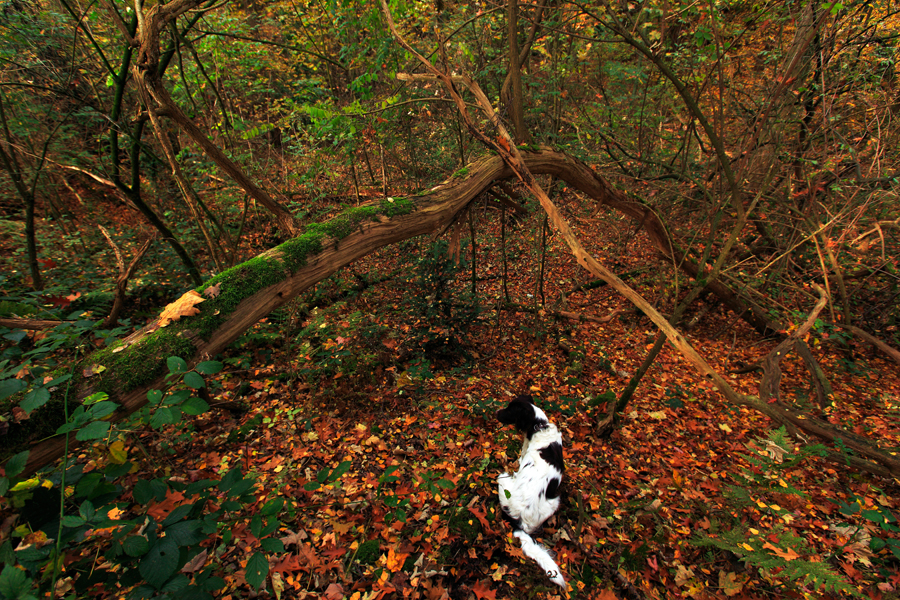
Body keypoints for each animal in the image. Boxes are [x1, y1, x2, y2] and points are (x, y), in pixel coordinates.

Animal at [496, 396, 568, 588]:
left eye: (509, 410)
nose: (496, 412)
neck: (539, 426)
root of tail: (520, 520)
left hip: (502, 478)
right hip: (554, 502)